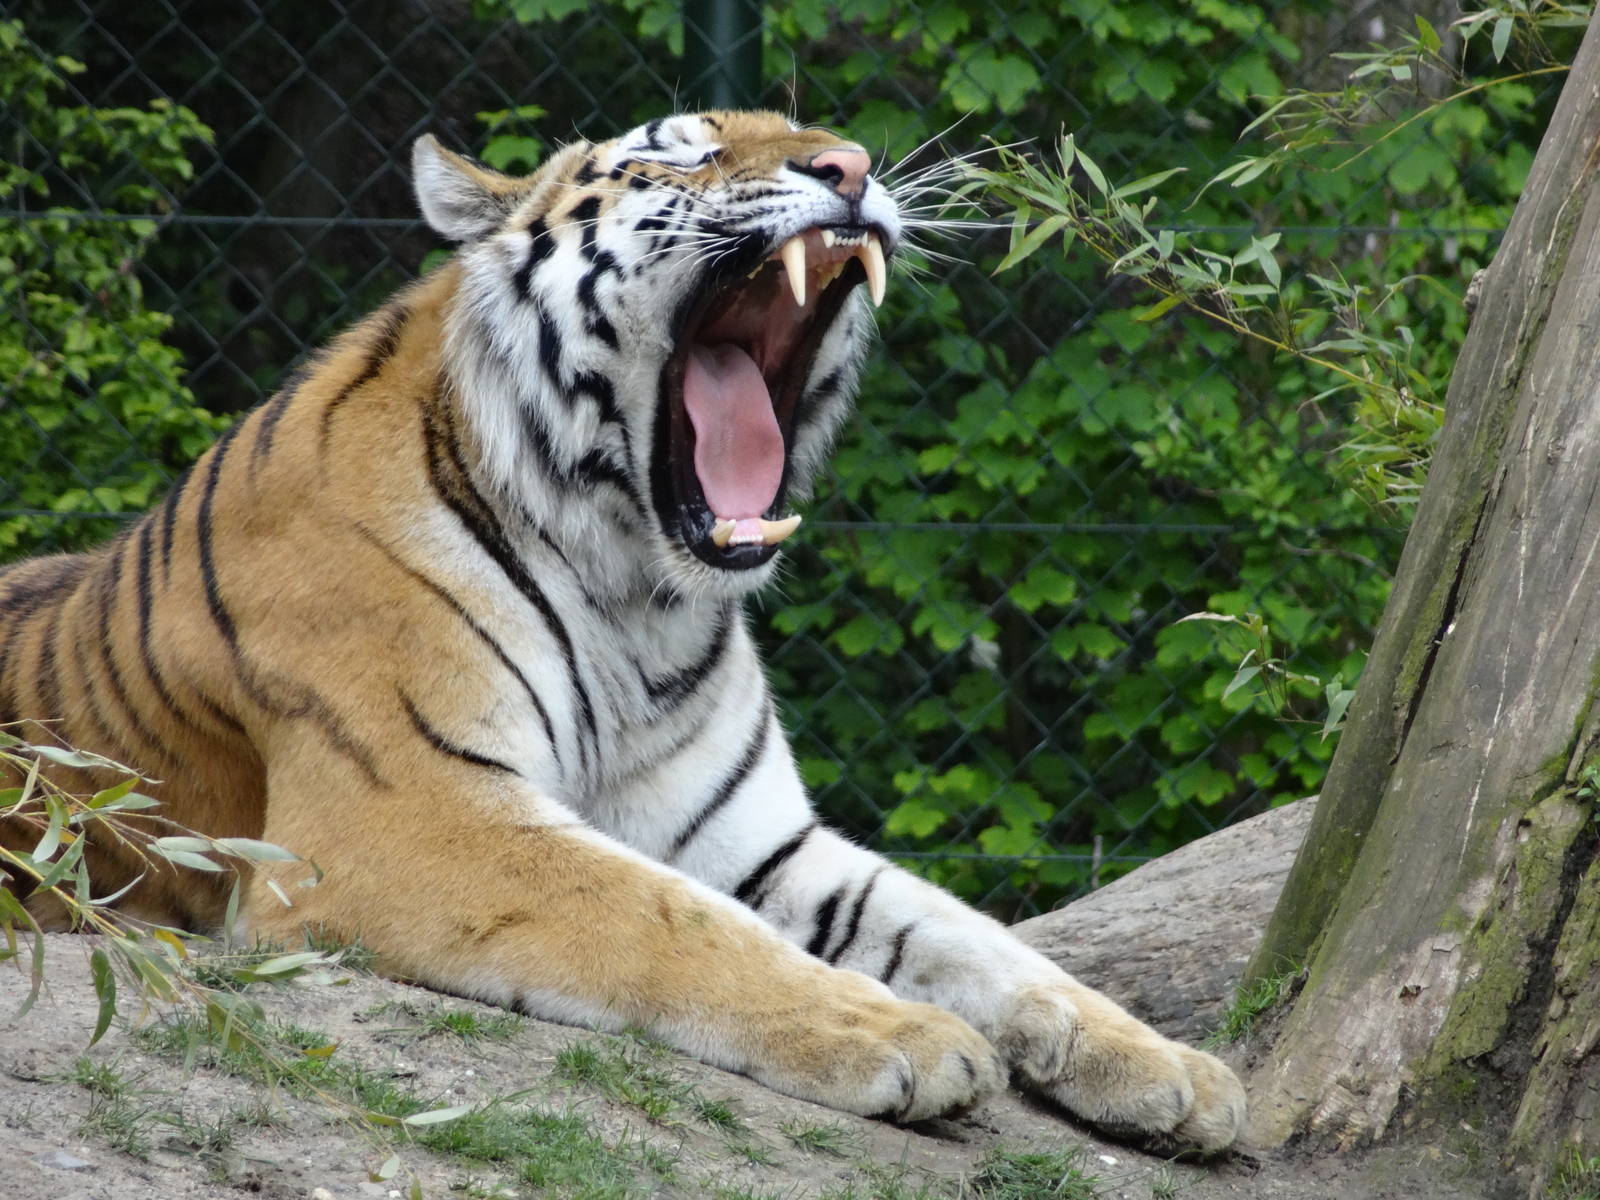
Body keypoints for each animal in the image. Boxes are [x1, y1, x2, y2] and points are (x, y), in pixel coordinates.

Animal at [0, 110, 1246, 1147]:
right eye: (688, 152)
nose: (850, 166)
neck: (635, 595)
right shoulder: (413, 815)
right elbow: (670, 921)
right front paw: (904, 1038)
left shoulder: (761, 840)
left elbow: (974, 936)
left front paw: (1174, 1069)